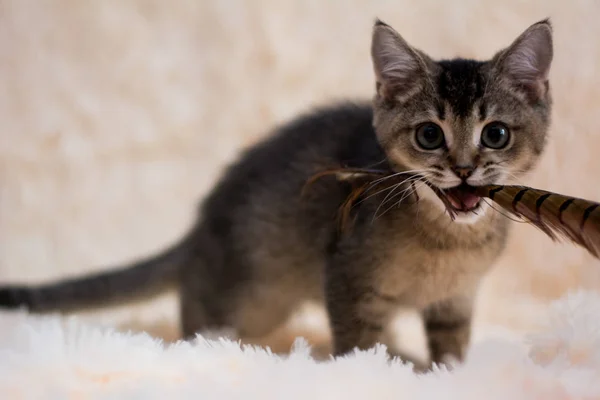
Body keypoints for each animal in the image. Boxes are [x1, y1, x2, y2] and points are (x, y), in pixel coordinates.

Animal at [0, 18, 552, 368]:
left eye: (495, 134)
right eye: (429, 135)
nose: (463, 170)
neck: (447, 242)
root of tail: (200, 224)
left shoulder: (456, 301)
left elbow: (450, 352)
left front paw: (441, 374)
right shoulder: (346, 278)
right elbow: (358, 344)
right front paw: (369, 375)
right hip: (250, 295)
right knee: (198, 319)